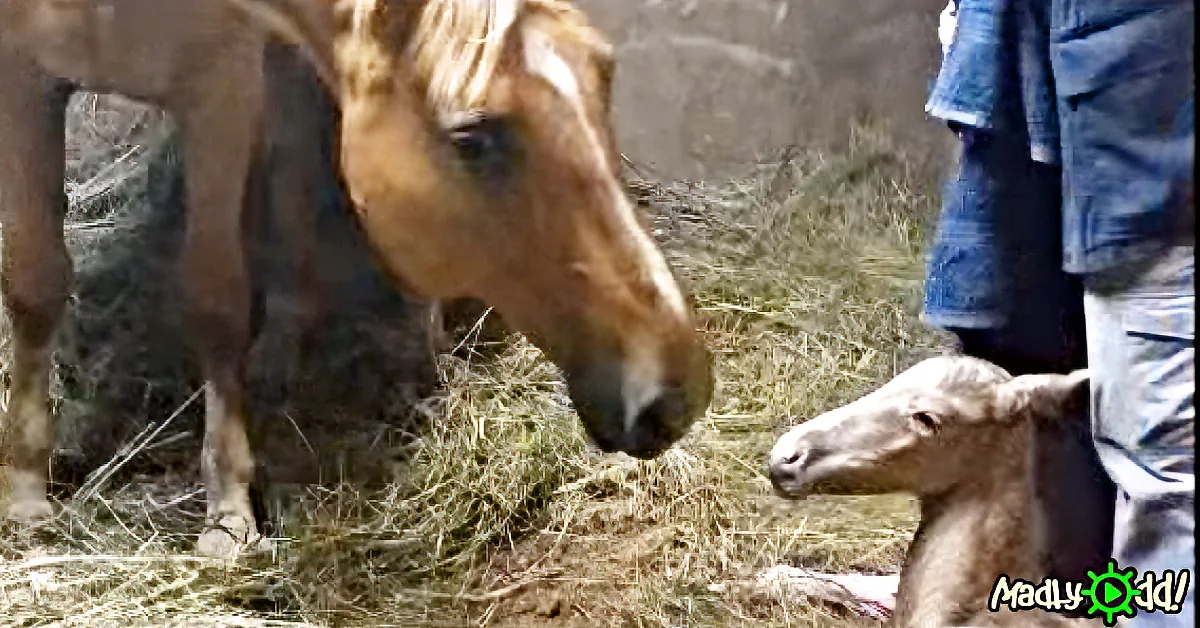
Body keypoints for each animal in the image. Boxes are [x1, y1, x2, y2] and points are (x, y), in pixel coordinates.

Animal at [0, 0, 714, 558]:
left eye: (604, 76)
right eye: (472, 138)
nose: (676, 394)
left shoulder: (221, 84)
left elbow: (215, 299)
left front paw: (228, 518)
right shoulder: (25, 71)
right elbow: (34, 283)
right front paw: (26, 495)